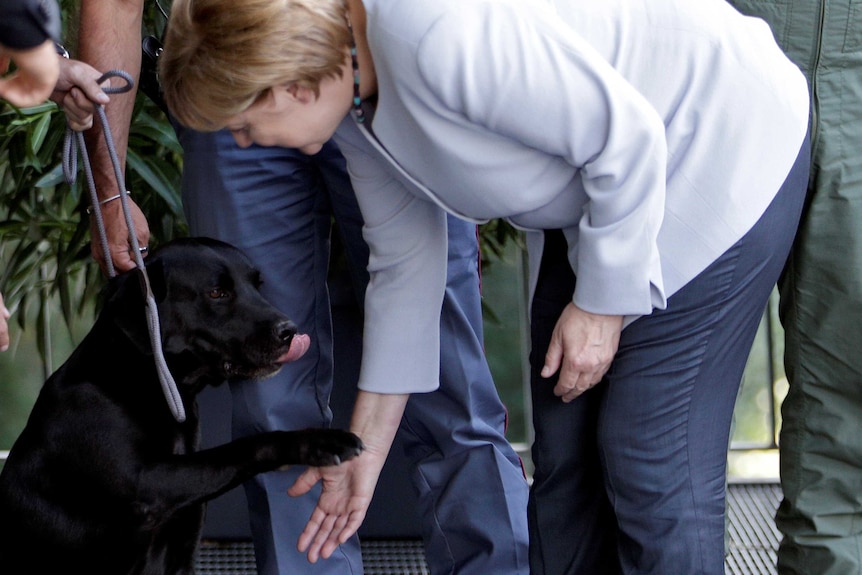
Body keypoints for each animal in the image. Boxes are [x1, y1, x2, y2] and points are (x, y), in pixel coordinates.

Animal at [0, 237, 362, 575]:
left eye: (258, 285)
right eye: (217, 293)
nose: (290, 331)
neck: (145, 381)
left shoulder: (182, 546)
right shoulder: (148, 483)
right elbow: (244, 446)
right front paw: (319, 441)